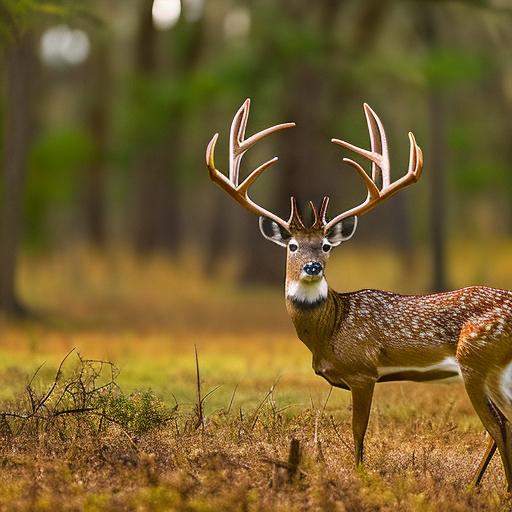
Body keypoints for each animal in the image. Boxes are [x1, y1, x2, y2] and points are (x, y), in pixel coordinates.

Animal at [204, 97, 512, 492]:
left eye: (325, 246)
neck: (329, 330)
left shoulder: (363, 372)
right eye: (291, 245)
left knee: (499, 425)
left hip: (477, 359)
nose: (312, 267)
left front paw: (361, 477)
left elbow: (358, 433)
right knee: (500, 425)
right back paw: (474, 486)